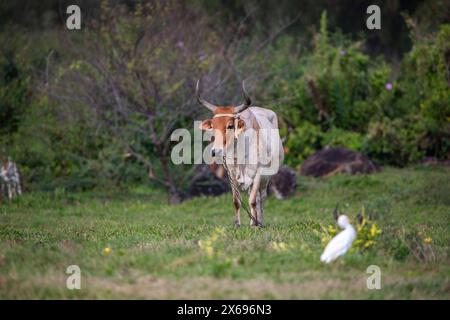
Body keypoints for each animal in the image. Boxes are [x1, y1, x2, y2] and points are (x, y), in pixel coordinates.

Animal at [196, 81, 284, 226]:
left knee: (261, 197)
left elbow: (253, 200)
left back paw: (259, 221)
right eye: (213, 126)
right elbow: (236, 201)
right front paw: (237, 223)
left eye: (230, 125)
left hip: (266, 177)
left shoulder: (258, 173)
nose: (216, 151)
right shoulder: (231, 174)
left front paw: (255, 224)